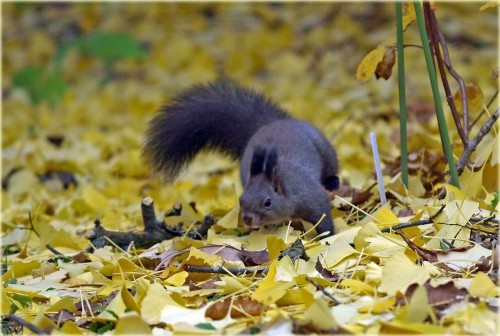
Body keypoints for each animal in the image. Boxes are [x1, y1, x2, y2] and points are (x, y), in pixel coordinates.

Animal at [145, 79, 340, 236]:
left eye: (267, 202)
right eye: (241, 199)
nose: (247, 219)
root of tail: (273, 123)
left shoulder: (313, 199)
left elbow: (324, 219)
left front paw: (328, 236)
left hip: (325, 151)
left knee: (331, 168)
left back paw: (332, 181)